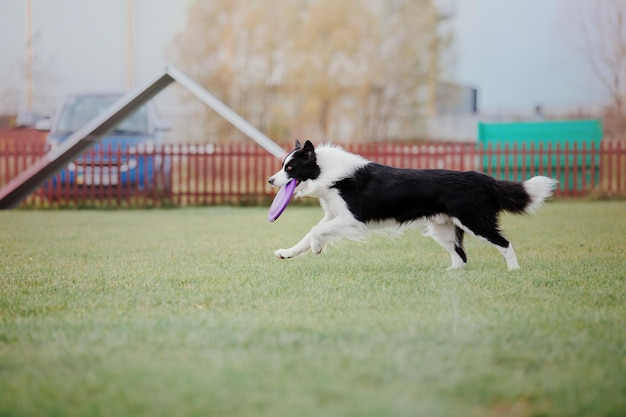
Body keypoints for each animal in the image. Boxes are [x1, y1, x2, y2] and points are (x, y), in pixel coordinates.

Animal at [266, 140, 552, 270]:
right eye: (282, 166)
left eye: (290, 168)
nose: (270, 180)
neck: (326, 171)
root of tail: (483, 178)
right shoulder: (333, 216)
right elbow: (310, 232)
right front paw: (287, 253)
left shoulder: (353, 219)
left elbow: (316, 231)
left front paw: (317, 248)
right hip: (444, 229)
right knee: (461, 257)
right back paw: (450, 273)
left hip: (475, 221)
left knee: (504, 243)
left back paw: (514, 270)